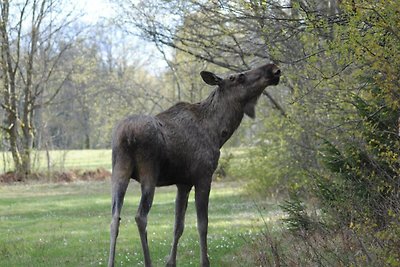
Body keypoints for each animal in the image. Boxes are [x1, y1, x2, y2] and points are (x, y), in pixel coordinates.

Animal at [108, 63, 280, 267]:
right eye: (238, 77)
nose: (273, 68)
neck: (219, 133)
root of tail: (127, 136)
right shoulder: (203, 176)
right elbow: (202, 224)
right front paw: (204, 261)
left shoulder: (183, 183)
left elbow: (178, 226)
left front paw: (170, 262)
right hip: (148, 173)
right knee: (140, 216)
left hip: (119, 171)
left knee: (114, 218)